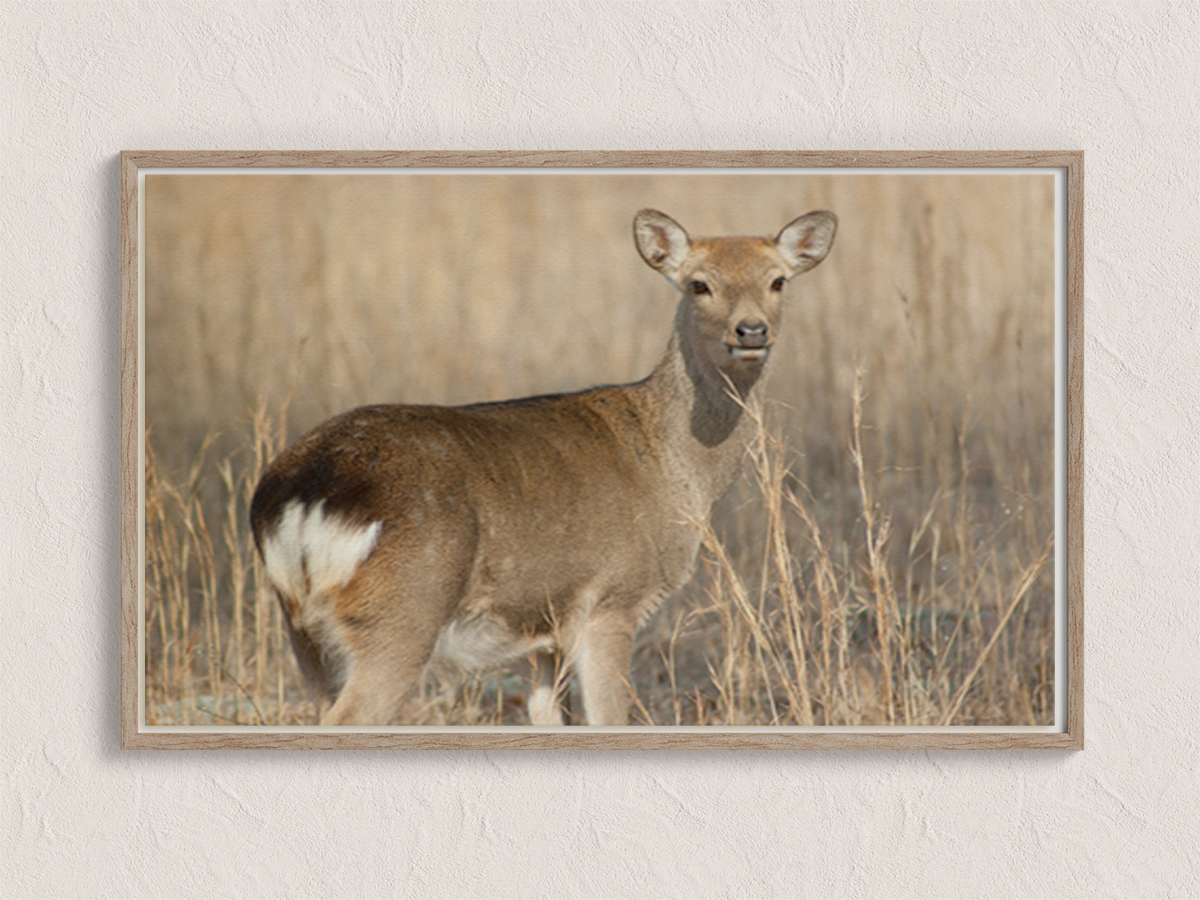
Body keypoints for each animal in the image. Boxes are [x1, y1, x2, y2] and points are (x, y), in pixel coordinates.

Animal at [250, 208, 837, 726]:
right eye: (698, 285)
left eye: (778, 280)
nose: (751, 331)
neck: (680, 471)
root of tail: (301, 492)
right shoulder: (613, 599)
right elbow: (609, 719)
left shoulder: (544, 627)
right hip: (402, 609)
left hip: (302, 630)